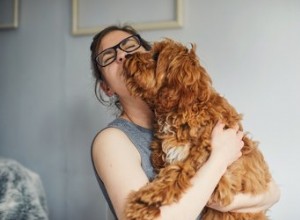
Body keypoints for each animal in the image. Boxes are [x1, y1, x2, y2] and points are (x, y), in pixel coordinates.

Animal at [122, 38, 272, 219]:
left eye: (156, 56)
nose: (127, 56)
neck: (185, 109)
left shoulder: (213, 171)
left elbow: (177, 171)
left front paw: (146, 199)